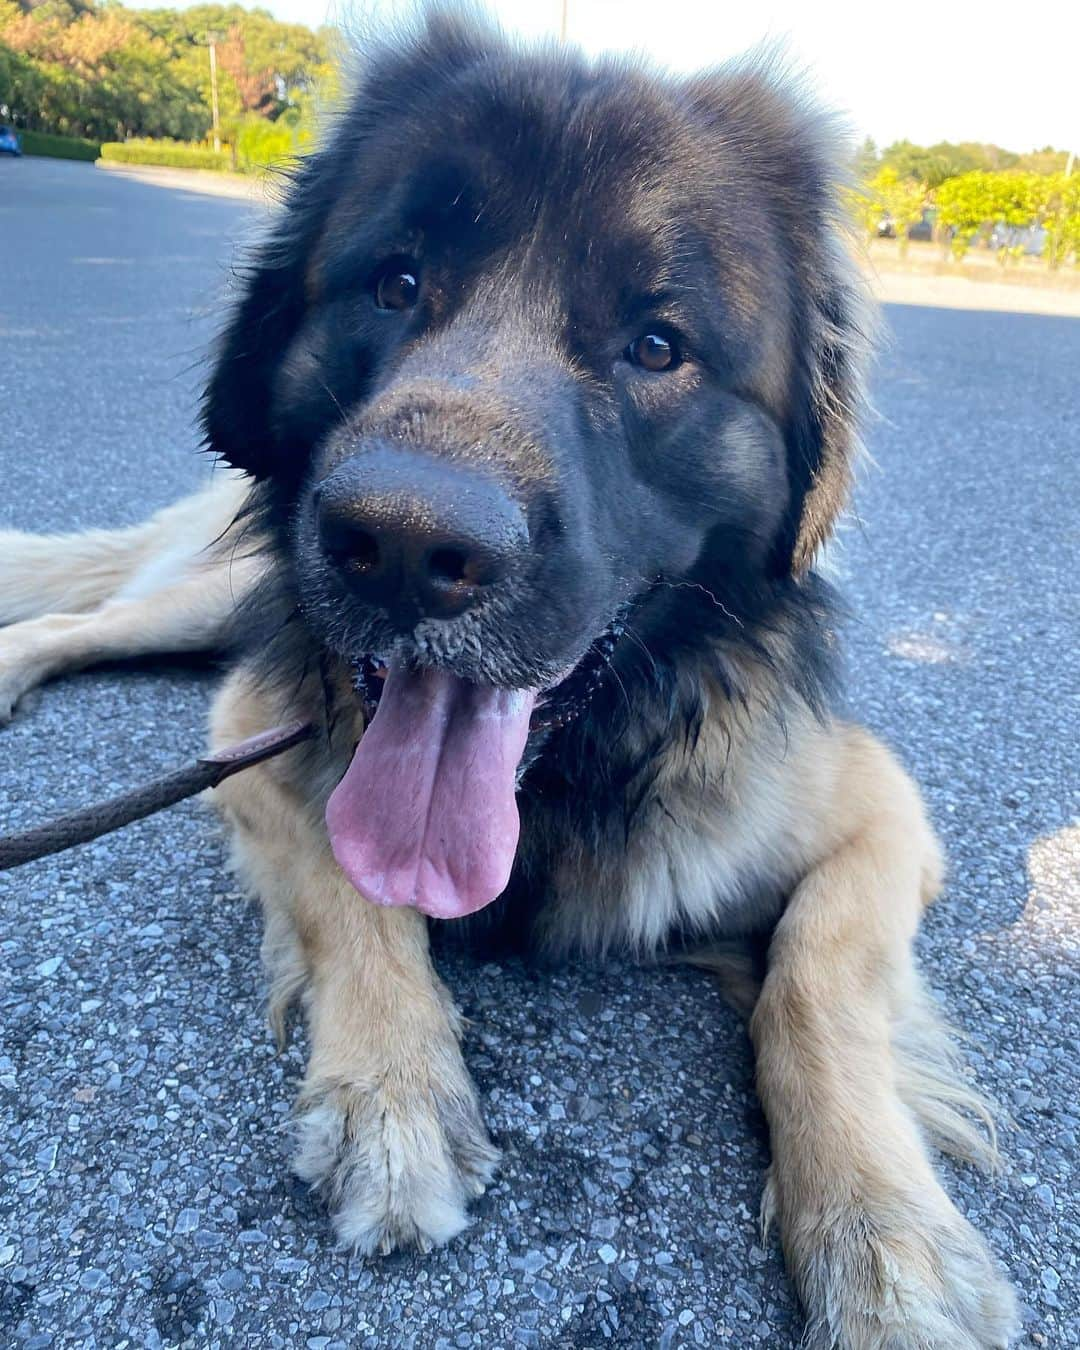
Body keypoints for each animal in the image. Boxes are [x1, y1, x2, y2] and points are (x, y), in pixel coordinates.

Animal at [0, 13, 1015, 1350]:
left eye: (657, 346)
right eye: (395, 283)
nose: (403, 545)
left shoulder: (877, 815)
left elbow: (819, 975)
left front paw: (884, 1233)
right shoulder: (255, 734)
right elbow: (347, 880)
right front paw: (392, 1092)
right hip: (211, 605)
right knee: (86, 616)